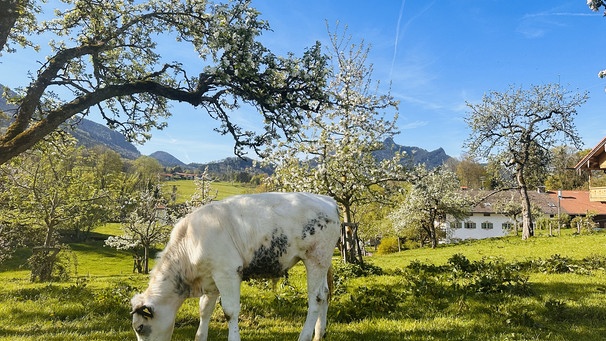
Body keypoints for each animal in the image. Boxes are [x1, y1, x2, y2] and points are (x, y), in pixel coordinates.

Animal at [131, 191, 342, 340]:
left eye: (140, 328)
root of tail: (326, 200)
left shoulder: (227, 273)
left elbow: (230, 311)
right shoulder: (211, 280)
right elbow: (204, 310)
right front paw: (200, 337)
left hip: (315, 258)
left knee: (315, 299)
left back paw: (305, 336)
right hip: (322, 262)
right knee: (324, 294)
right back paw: (319, 334)